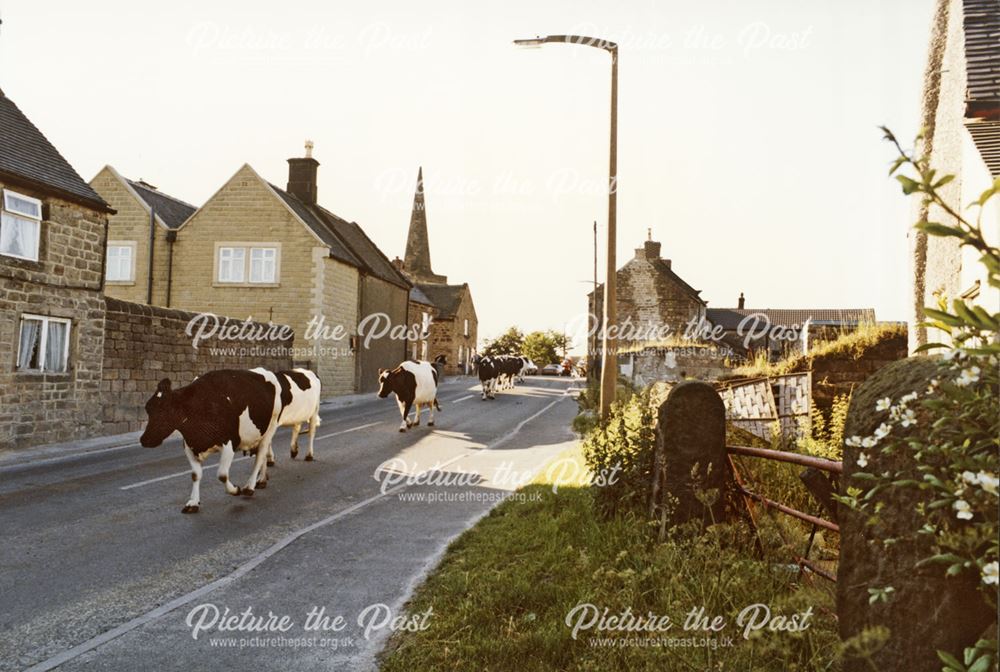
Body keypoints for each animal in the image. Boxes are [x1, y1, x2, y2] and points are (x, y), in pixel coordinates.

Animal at [139, 368, 284, 516]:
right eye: (148, 408)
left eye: (166, 409)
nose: (144, 439)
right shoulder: (189, 446)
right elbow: (195, 475)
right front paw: (193, 503)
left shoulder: (229, 443)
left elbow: (222, 475)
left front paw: (235, 490)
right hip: (260, 434)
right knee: (262, 454)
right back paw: (262, 480)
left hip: (271, 426)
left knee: (260, 455)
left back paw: (249, 487)